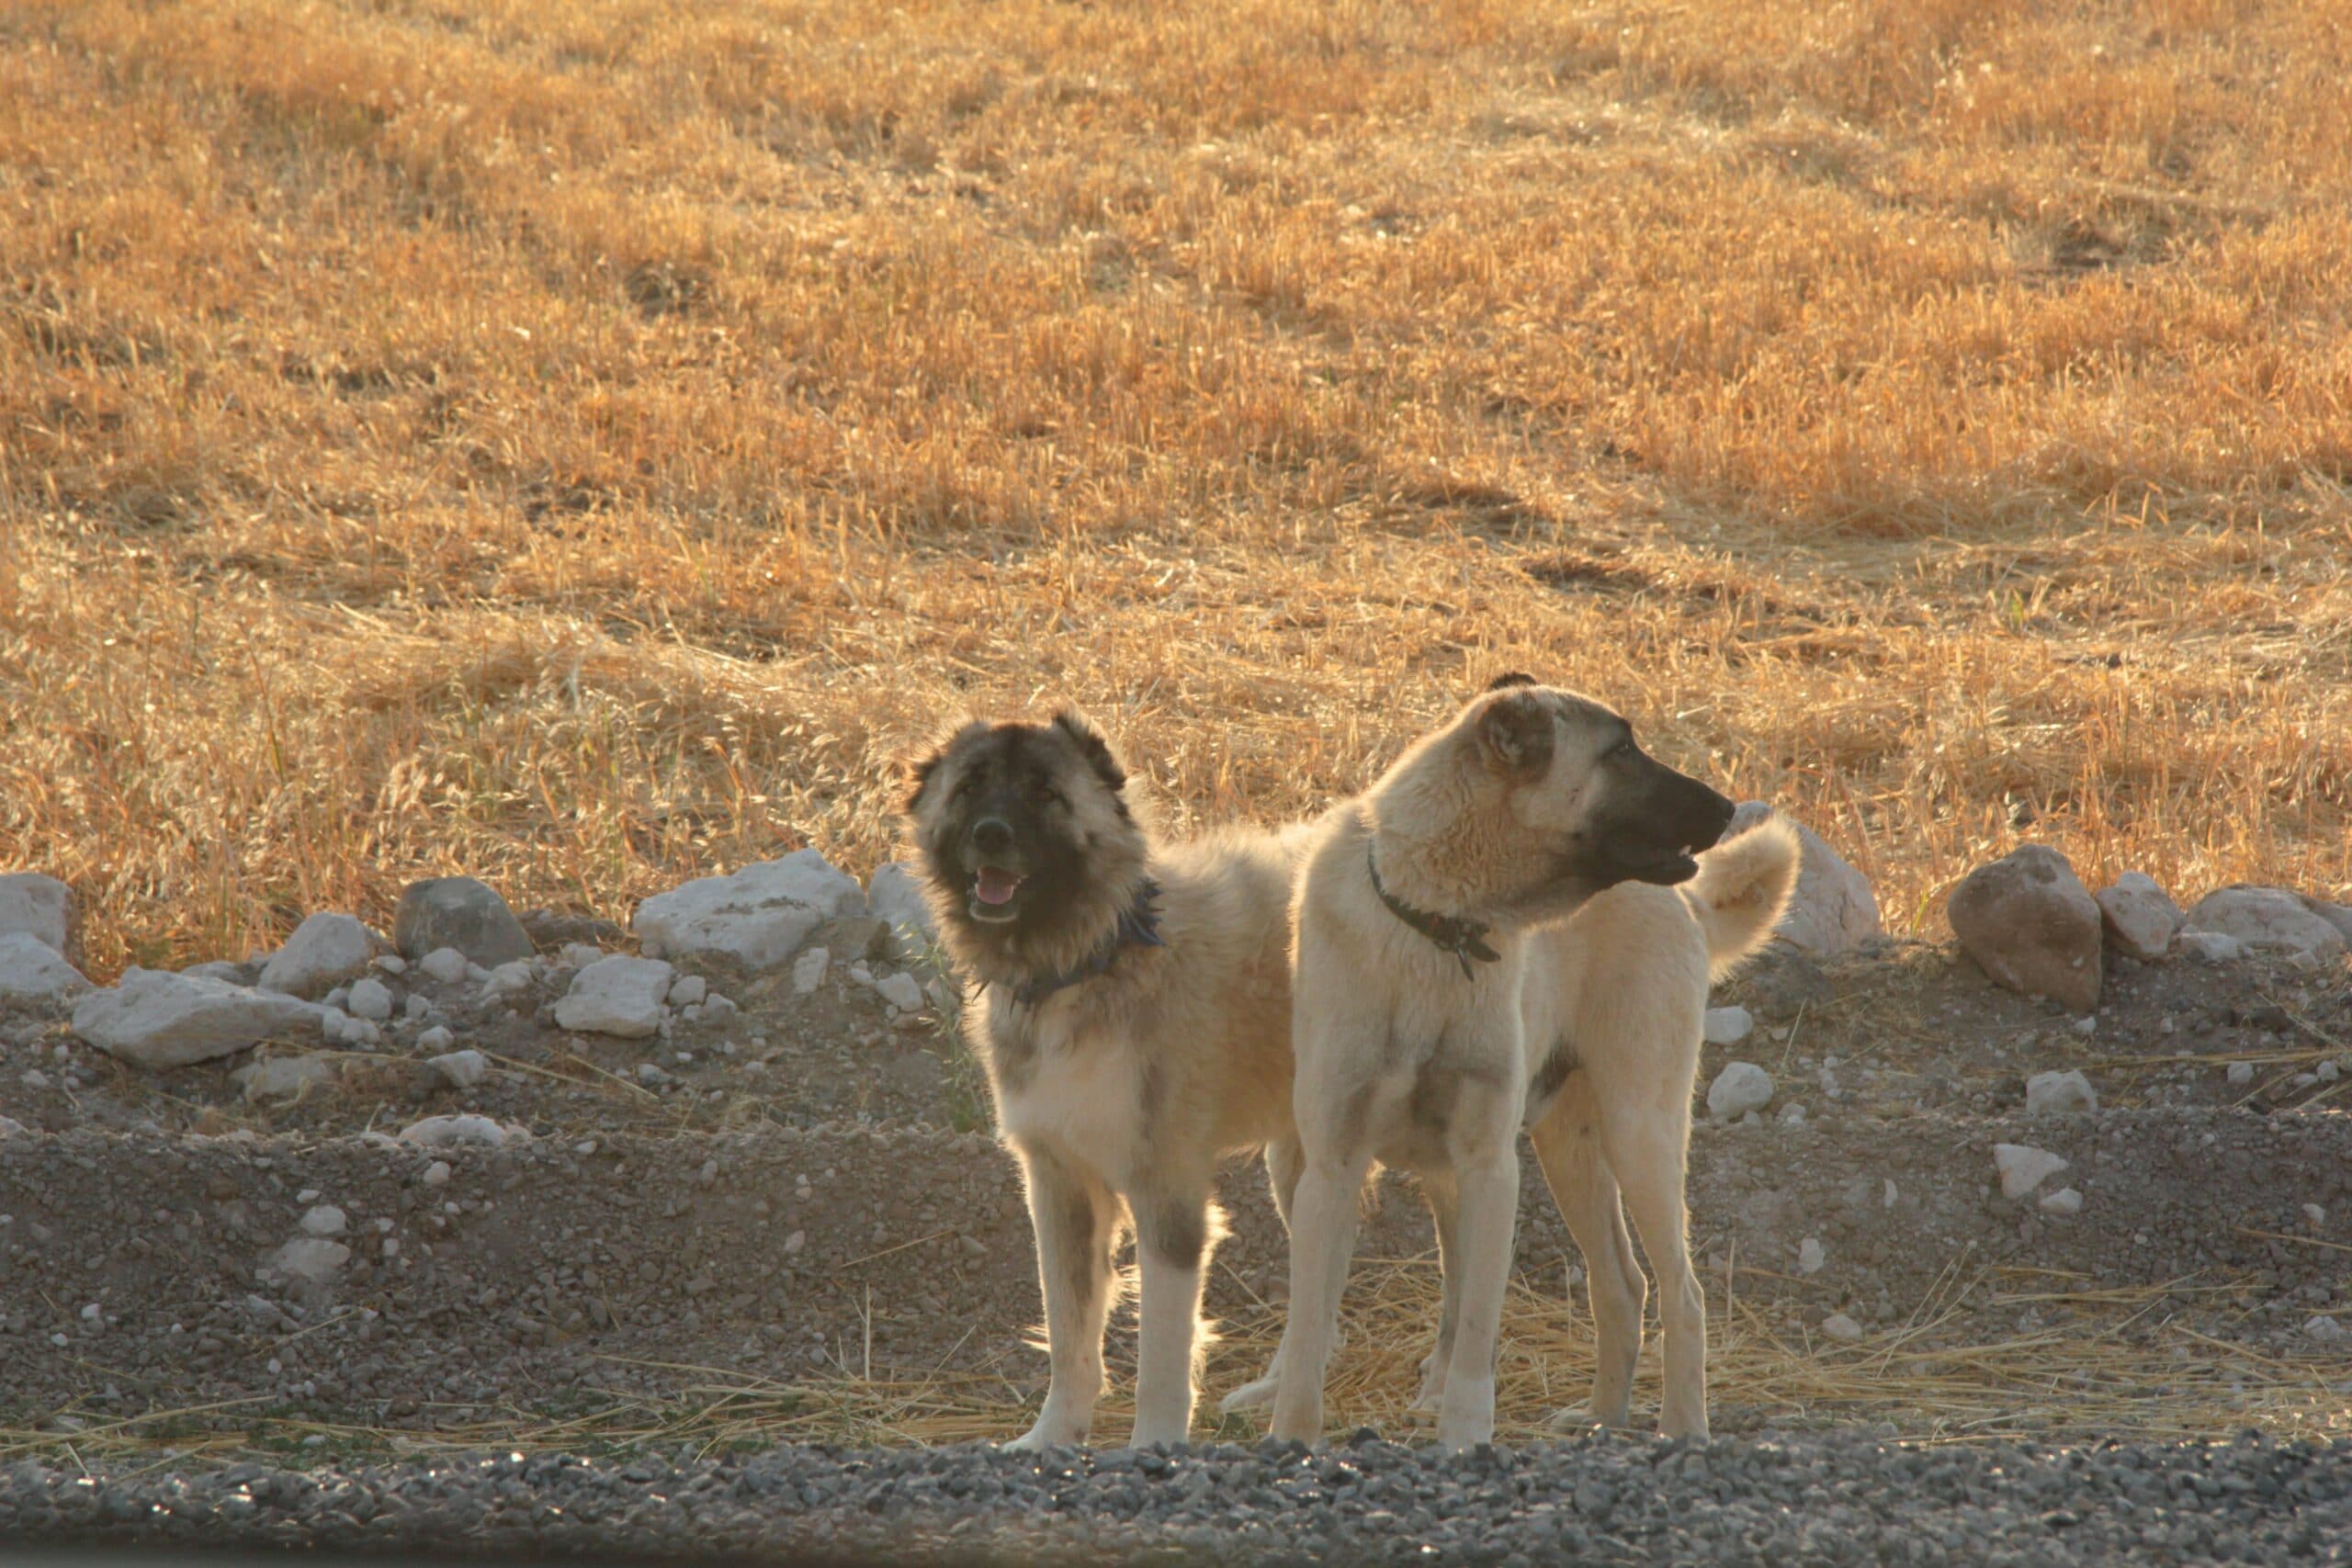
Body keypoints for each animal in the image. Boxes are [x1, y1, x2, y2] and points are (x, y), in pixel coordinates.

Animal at [903, 709, 1317, 1448]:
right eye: (970, 785)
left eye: (1044, 792)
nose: (991, 835)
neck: (1091, 960)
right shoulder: (1060, 1186)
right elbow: (1070, 1337)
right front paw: (1053, 1438)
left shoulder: (1167, 1198)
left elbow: (1161, 1355)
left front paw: (1154, 1446)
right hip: (1296, 1165)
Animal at [1241, 677, 1787, 1448]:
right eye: (1620, 750)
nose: (1727, 807)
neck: (1436, 926)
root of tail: (1686, 902)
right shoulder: (1332, 1169)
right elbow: (1310, 1328)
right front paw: (1292, 1435)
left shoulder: (1489, 1167)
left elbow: (1475, 1331)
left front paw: (1465, 1433)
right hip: (1557, 1150)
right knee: (1623, 1285)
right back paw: (1601, 1415)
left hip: (1638, 1135)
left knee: (1681, 1292)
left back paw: (1681, 1426)